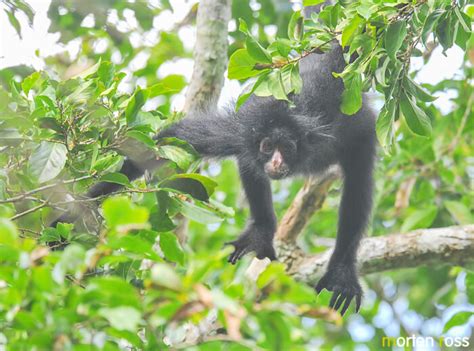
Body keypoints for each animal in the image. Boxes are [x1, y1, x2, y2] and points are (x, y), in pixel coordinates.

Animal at [51, 4, 376, 316]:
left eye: (287, 146)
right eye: (268, 146)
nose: (274, 163)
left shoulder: (348, 132)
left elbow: (358, 185)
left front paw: (341, 273)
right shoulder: (239, 133)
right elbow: (164, 143)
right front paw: (66, 225)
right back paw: (260, 232)